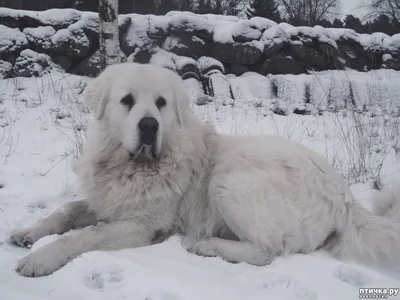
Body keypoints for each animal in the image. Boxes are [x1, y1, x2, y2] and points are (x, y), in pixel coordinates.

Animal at [9, 61, 400, 276]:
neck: (132, 167)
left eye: (161, 103)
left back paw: (207, 246)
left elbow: (83, 236)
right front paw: (28, 233)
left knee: (267, 251)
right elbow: (66, 211)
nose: (149, 126)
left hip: (229, 180)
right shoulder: (106, 200)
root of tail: (344, 195)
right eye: (127, 101)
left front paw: (40, 258)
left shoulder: (143, 225)